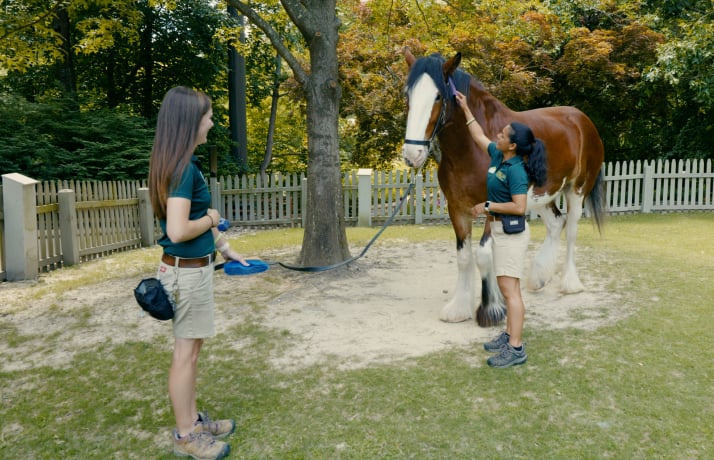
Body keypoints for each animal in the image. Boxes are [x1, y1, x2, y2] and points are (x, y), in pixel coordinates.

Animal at [402, 49, 606, 326]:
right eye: (408, 95)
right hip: (541, 195)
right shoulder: (457, 207)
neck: (471, 149)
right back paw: (538, 277)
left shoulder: (491, 205)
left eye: (437, 96)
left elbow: (484, 254)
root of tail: (583, 120)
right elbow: (464, 257)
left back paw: (570, 283)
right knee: (556, 223)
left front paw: (491, 309)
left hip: (577, 189)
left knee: (572, 229)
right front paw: (459, 308)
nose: (412, 154)